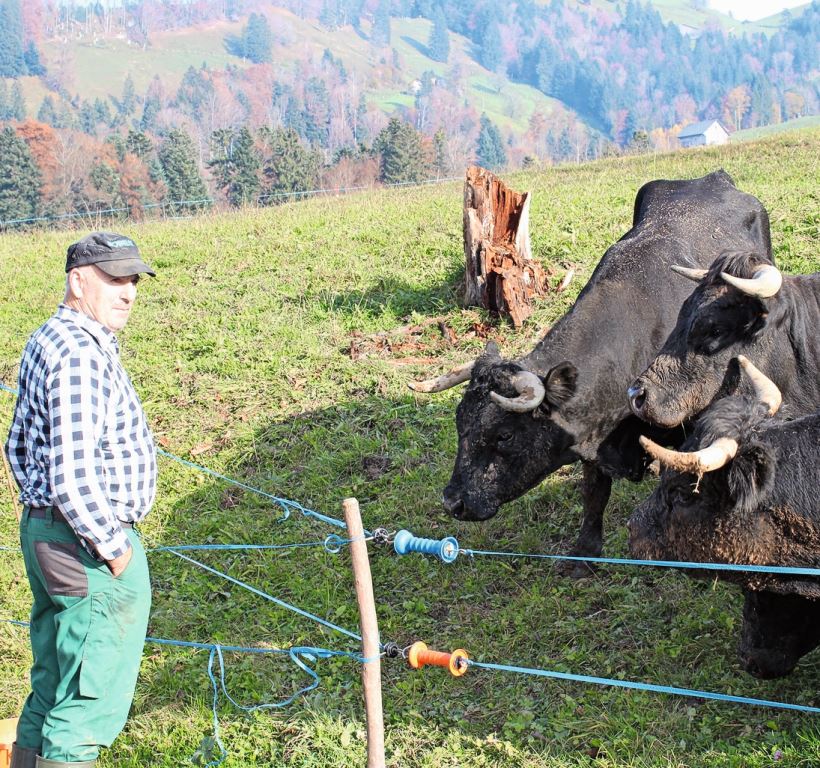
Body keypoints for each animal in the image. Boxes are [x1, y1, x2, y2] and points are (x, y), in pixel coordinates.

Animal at [414, 170, 772, 576]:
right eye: (460, 424)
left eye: (504, 435)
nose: (452, 502)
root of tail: (713, 178)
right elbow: (594, 494)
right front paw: (584, 553)